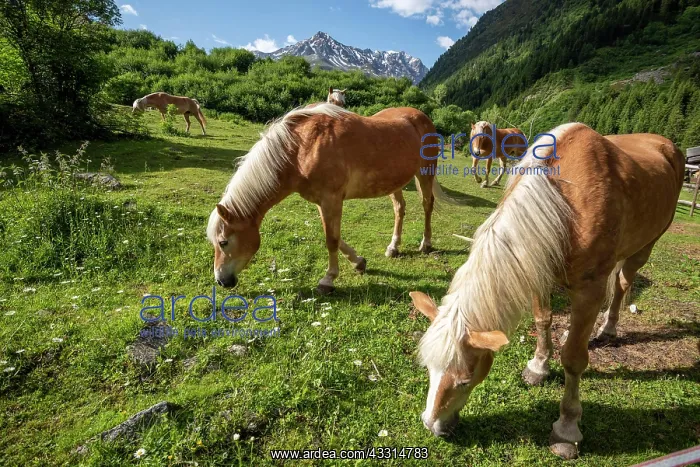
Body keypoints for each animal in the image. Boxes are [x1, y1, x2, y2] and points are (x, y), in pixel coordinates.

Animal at [207, 103, 454, 294]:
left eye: (223, 242)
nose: (221, 280)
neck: (301, 149)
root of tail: (421, 116)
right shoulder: (322, 202)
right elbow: (334, 236)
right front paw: (359, 262)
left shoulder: (331, 199)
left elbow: (331, 240)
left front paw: (328, 280)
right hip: (395, 182)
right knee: (399, 208)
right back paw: (393, 247)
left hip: (425, 172)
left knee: (427, 205)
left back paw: (426, 244)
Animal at [409, 123, 684, 459]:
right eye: (428, 368)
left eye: (464, 381)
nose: (432, 425)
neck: (568, 203)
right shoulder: (537, 267)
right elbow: (543, 321)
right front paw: (538, 367)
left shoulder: (589, 292)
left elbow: (574, 360)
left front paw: (566, 430)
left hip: (644, 247)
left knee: (621, 284)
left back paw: (608, 328)